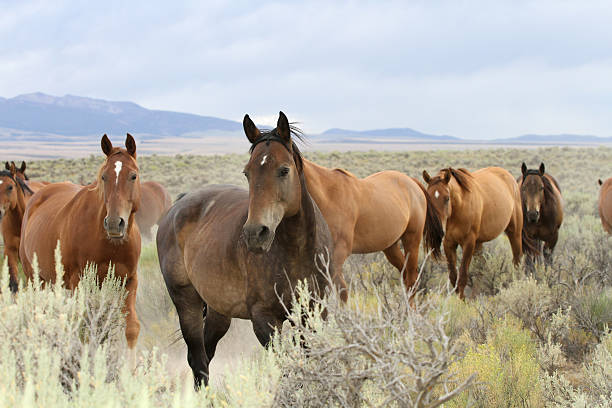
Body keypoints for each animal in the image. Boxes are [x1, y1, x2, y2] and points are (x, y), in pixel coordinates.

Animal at [19, 134, 142, 348]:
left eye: (133, 175)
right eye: (104, 177)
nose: (114, 223)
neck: (109, 244)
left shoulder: (129, 281)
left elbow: (131, 328)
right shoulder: (79, 281)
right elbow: (83, 328)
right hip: (35, 279)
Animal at [155, 111, 332, 388]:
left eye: (284, 170)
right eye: (247, 173)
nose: (255, 234)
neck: (297, 252)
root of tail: (177, 206)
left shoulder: (313, 314)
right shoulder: (264, 319)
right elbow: (285, 367)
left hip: (218, 312)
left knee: (205, 354)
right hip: (186, 302)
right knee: (198, 360)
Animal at [426, 167, 520, 298]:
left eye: (447, 198)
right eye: (428, 198)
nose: (439, 229)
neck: (459, 207)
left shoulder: (468, 243)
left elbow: (463, 276)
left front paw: (461, 300)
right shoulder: (449, 244)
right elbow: (453, 277)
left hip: (514, 232)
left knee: (517, 260)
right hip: (479, 243)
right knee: (481, 267)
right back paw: (475, 296)